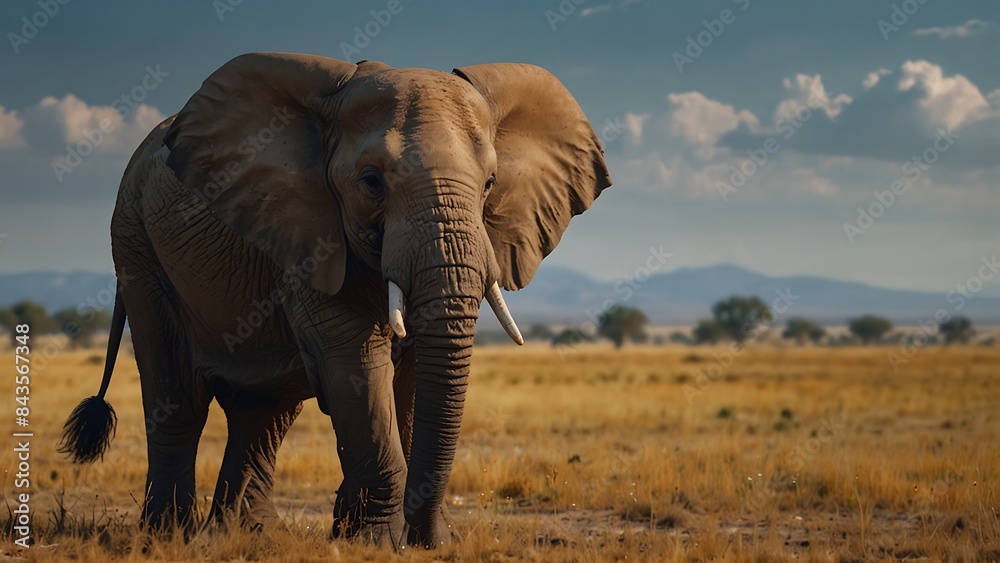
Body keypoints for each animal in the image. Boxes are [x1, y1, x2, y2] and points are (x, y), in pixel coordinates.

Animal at [58, 52, 611, 548]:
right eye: (371, 182)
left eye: (491, 183)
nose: (431, 540)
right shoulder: (305, 228)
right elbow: (355, 365)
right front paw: (377, 542)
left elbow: (411, 376)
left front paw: (394, 536)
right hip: (136, 244)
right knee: (179, 398)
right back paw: (169, 537)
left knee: (264, 412)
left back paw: (249, 534)